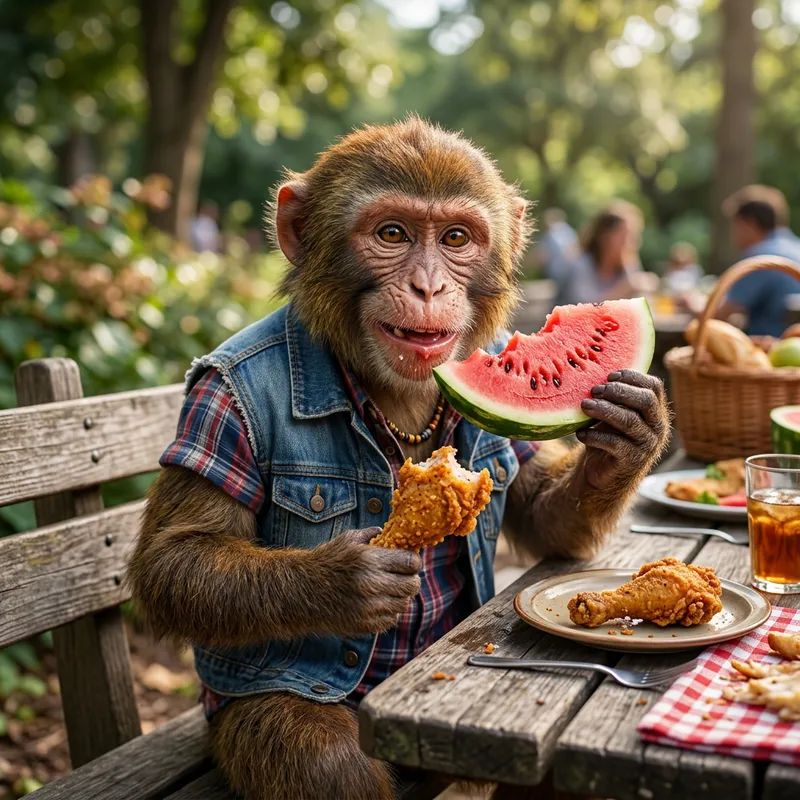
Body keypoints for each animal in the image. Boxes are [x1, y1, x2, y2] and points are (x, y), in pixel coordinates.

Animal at [128, 116, 670, 800]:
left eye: (456, 238)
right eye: (392, 234)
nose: (428, 285)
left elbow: (545, 521)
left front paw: (634, 438)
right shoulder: (219, 395)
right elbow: (176, 556)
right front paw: (341, 580)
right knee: (320, 759)